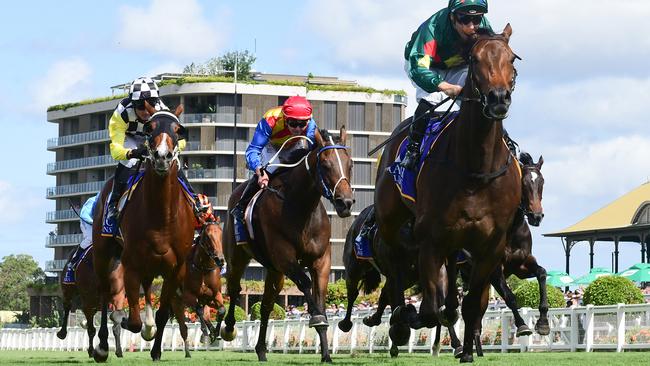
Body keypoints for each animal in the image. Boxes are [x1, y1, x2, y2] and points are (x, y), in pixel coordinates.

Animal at [91, 103, 194, 364]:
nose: (162, 156)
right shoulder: (131, 265)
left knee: (147, 293)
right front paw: (127, 322)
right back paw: (103, 346)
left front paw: (156, 349)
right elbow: (133, 321)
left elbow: (162, 313)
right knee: (104, 294)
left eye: (178, 129)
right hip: (103, 254)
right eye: (150, 128)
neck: (161, 217)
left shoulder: (175, 269)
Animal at [223, 127, 354, 362]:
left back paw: (261, 350)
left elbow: (319, 295)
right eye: (325, 165)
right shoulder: (284, 257)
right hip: (237, 257)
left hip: (274, 271)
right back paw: (228, 328)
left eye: (350, 164)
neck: (301, 208)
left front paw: (326, 354)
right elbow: (305, 283)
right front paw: (317, 319)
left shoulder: (321, 261)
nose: (345, 203)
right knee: (234, 287)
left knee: (266, 305)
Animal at [372, 25, 520, 364]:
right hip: (390, 220)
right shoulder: (431, 239)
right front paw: (411, 317)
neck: (476, 169)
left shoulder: (490, 246)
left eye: (511, 58)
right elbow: (429, 308)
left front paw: (467, 352)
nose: (498, 98)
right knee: (395, 263)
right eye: (475, 59)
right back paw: (400, 319)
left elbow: (472, 305)